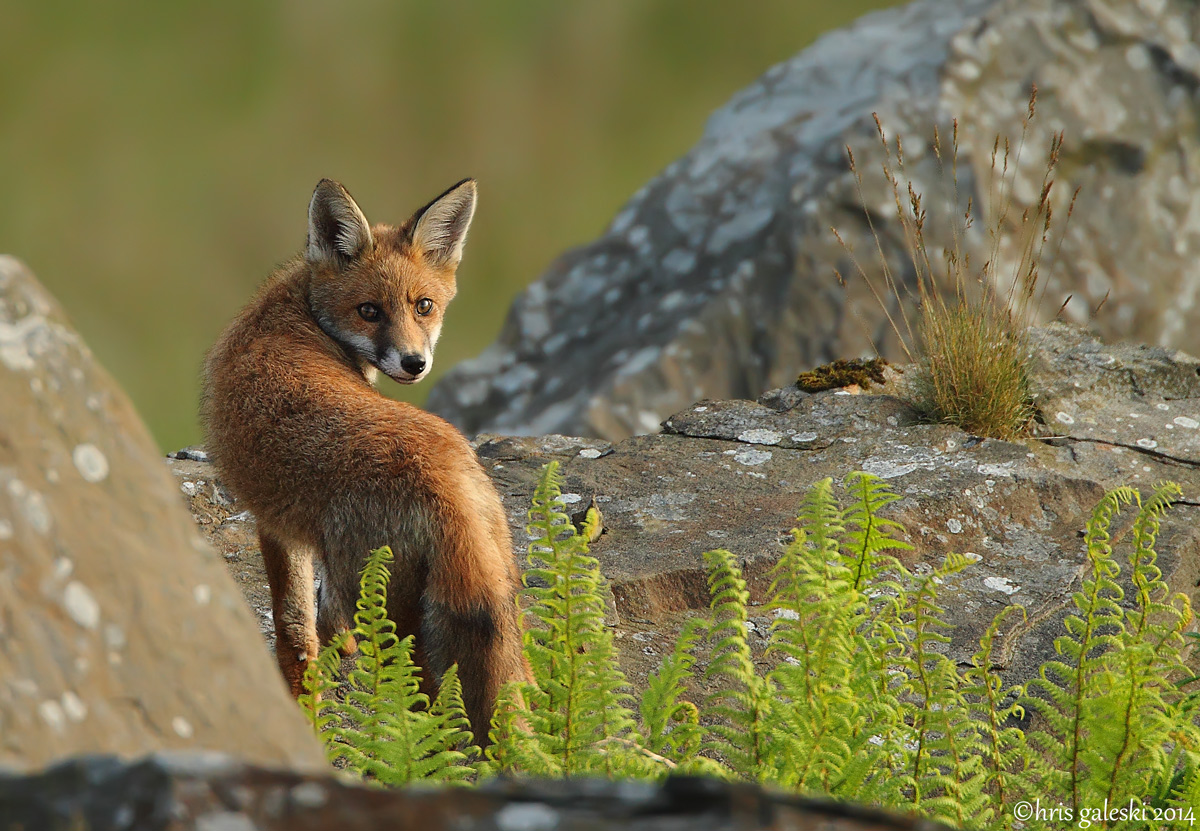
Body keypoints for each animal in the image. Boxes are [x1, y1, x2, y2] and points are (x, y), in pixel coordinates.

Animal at [201, 178, 531, 744]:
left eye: (423, 306)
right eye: (369, 310)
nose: (414, 362)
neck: (293, 312)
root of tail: (445, 485)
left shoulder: (277, 525)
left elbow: (293, 632)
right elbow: (321, 624)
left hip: (389, 615)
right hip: (499, 589)